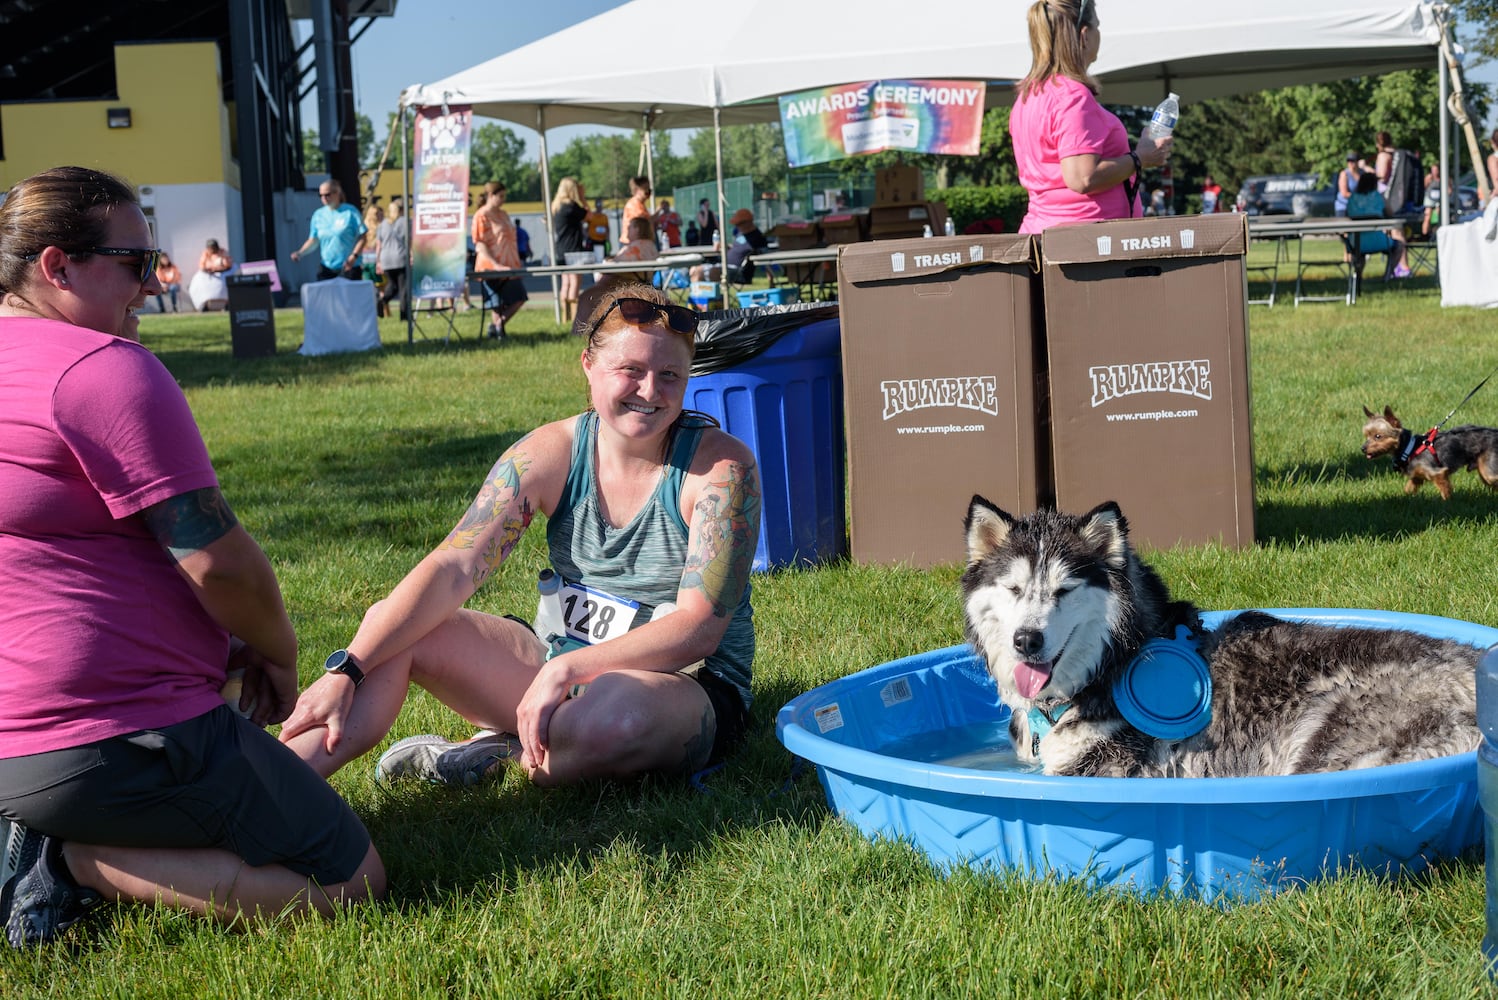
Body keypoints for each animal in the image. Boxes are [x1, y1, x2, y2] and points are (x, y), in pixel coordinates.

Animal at [1360, 404, 1498, 499]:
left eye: (1378, 436)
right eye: (1366, 436)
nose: (1363, 449)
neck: (1409, 449)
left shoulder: (1438, 473)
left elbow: (1445, 490)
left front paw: (1447, 503)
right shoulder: (1417, 476)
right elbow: (1408, 488)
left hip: (1488, 470)